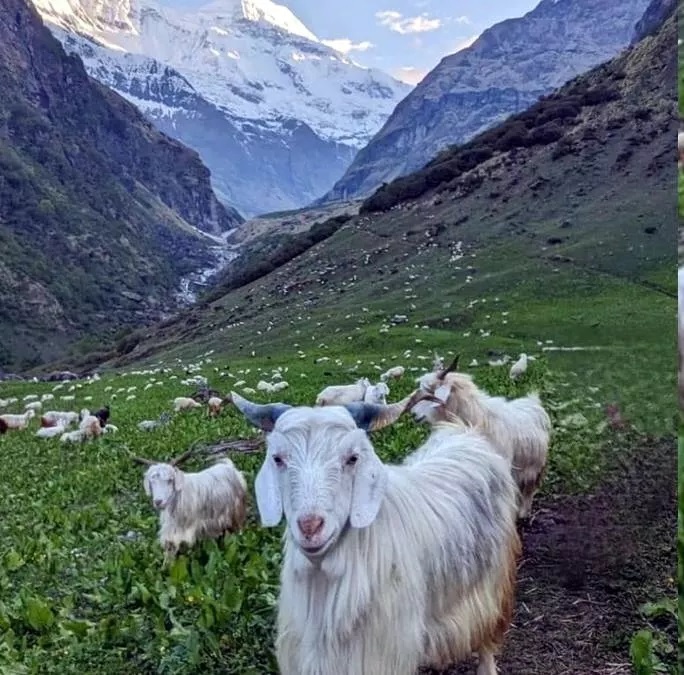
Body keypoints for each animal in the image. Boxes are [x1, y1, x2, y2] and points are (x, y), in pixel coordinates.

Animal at [232, 390, 520, 675]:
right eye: (278, 458)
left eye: (352, 458)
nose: (310, 527)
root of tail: (465, 433)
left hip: (492, 583)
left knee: (487, 633)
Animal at [412, 356, 552, 520]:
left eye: (431, 393)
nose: (413, 415)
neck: (478, 418)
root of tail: (532, 401)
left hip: (534, 467)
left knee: (529, 489)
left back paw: (523, 512)